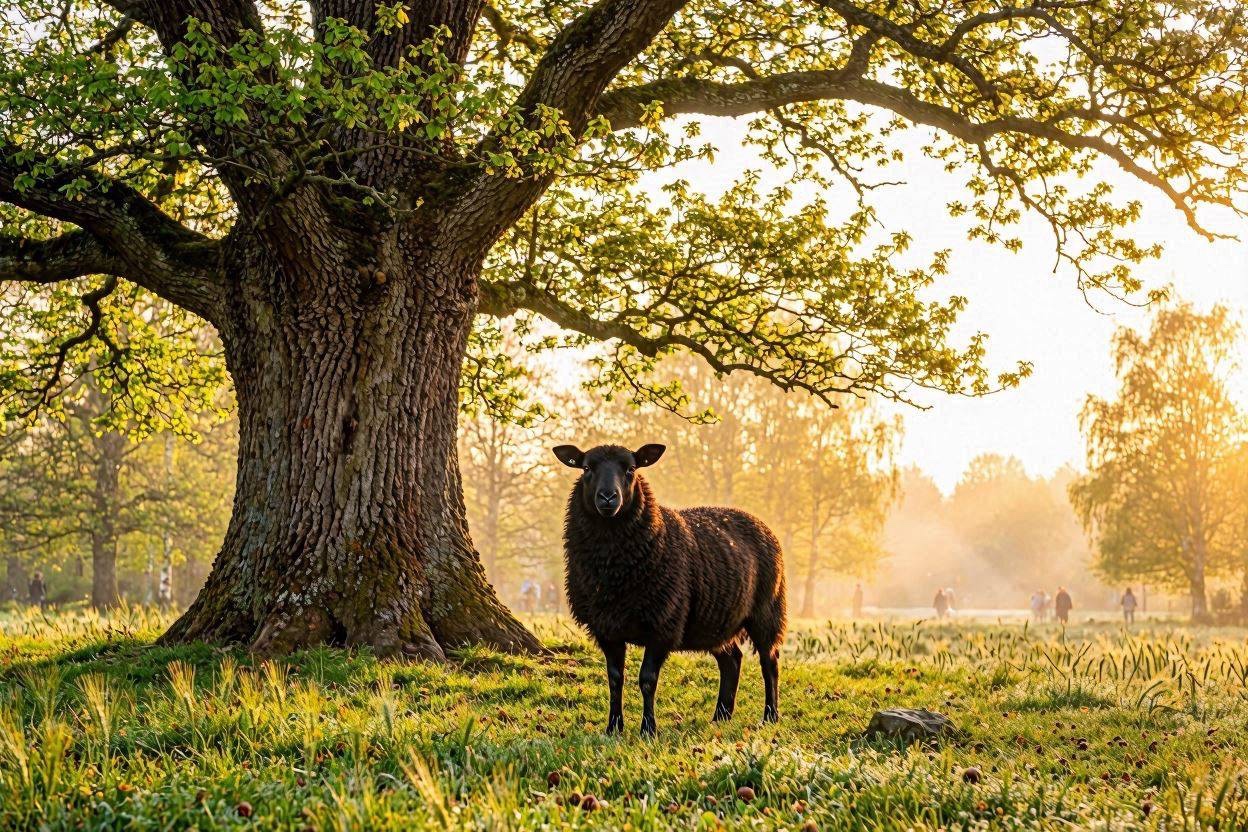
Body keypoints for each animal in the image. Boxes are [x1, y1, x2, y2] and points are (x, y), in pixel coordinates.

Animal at [551, 442, 786, 736]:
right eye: (586, 468)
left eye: (631, 469)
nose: (608, 497)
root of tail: (760, 522)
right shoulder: (606, 628)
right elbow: (615, 678)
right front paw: (613, 727)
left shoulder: (662, 624)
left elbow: (647, 679)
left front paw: (648, 729)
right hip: (715, 620)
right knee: (732, 659)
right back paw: (721, 716)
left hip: (767, 609)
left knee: (770, 661)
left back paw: (770, 716)